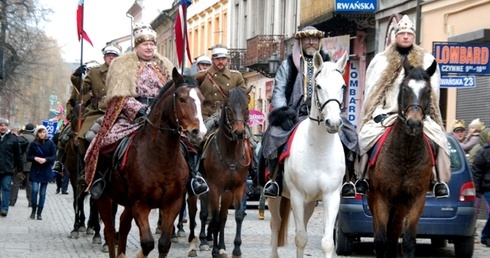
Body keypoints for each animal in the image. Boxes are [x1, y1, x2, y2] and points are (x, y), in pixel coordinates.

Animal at [96, 68, 206, 258]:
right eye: (181, 98)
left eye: (202, 100)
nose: (199, 133)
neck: (161, 157)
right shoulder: (140, 204)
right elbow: (147, 243)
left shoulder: (173, 203)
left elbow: (163, 244)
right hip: (105, 197)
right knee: (109, 231)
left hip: (127, 202)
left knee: (123, 226)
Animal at [187, 85, 253, 256]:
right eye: (228, 108)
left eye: (246, 108)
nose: (239, 133)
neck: (230, 153)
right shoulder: (215, 187)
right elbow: (214, 217)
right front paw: (215, 249)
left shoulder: (237, 188)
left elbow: (232, 216)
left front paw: (233, 248)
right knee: (200, 213)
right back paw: (200, 240)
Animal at [268, 50, 348, 258]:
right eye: (318, 85)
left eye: (343, 86)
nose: (333, 123)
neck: (319, 149)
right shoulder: (296, 196)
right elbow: (300, 238)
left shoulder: (331, 196)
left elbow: (327, 242)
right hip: (275, 197)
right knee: (276, 223)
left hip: (311, 202)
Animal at [368, 59, 436, 258]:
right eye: (405, 88)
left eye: (427, 91)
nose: (413, 123)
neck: (405, 155)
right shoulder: (381, 198)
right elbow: (380, 240)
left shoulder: (417, 198)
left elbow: (408, 241)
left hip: (400, 206)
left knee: (394, 234)